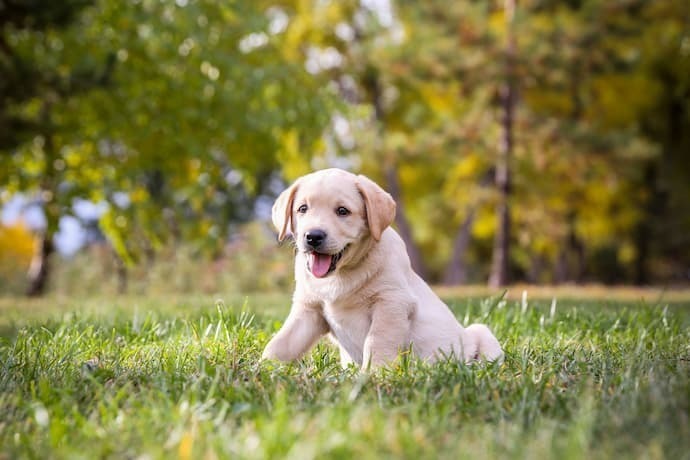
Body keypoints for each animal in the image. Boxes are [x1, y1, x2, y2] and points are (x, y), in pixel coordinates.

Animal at [260, 169, 500, 370]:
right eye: (302, 209)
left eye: (342, 211)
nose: (313, 236)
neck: (340, 276)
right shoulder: (309, 310)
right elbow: (281, 343)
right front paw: (261, 369)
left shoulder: (392, 302)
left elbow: (377, 341)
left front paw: (375, 374)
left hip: (482, 333)